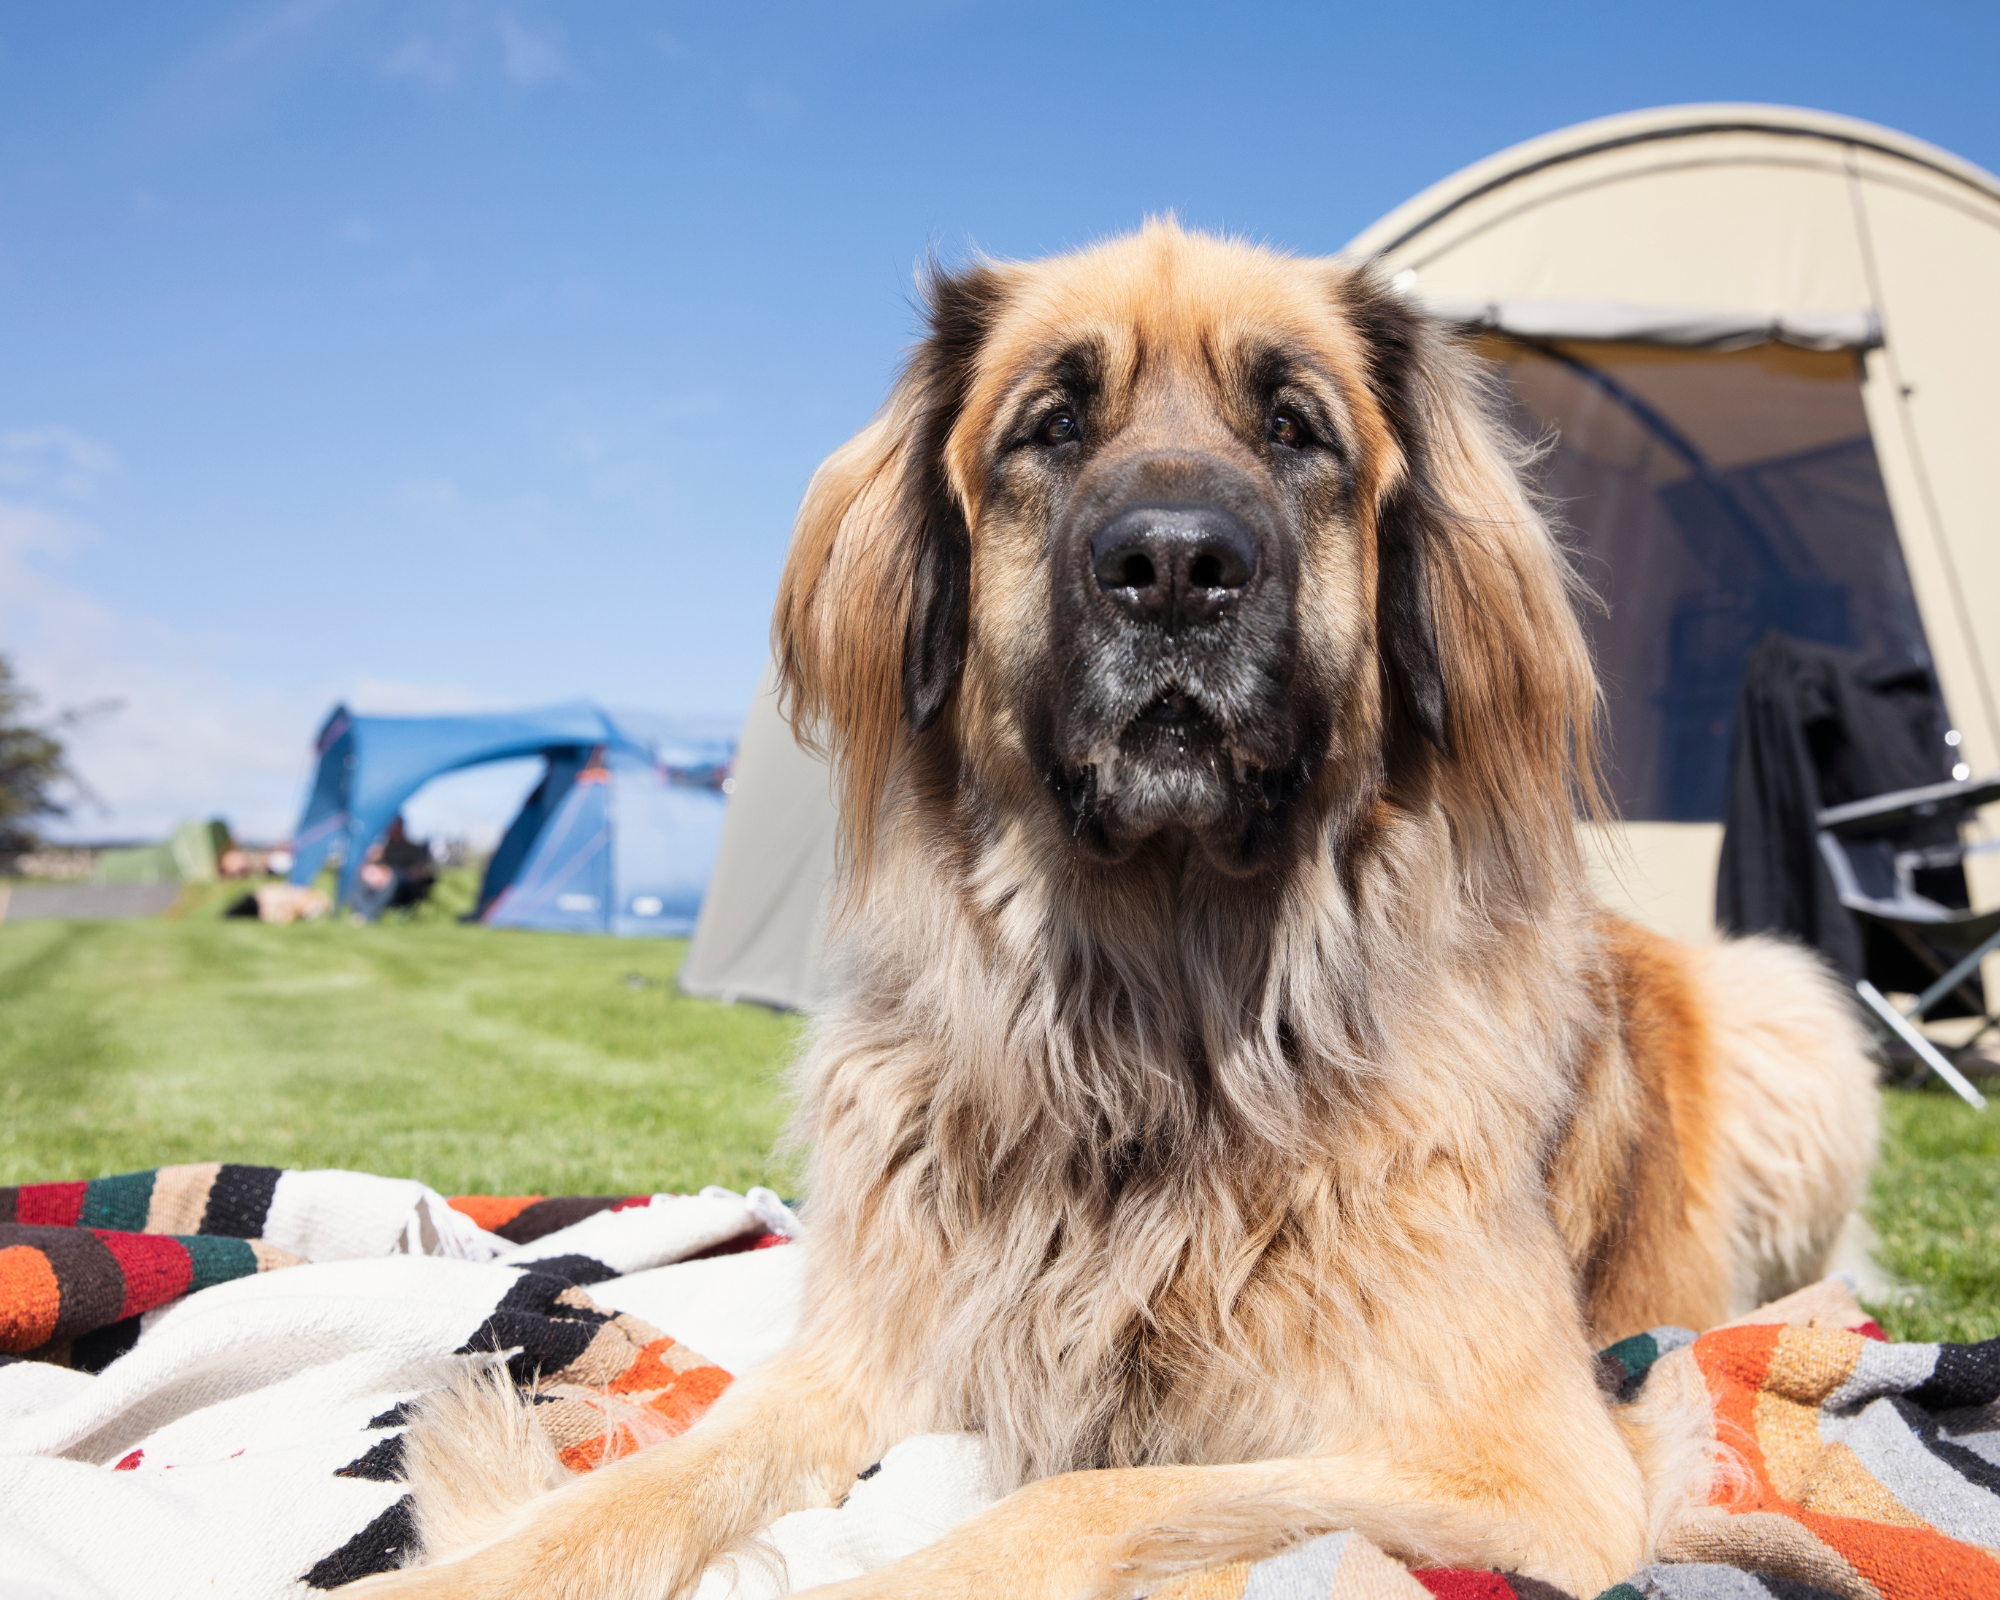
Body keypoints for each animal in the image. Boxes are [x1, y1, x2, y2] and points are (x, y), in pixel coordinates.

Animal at [356, 222, 1872, 1600]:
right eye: (1053, 426)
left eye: (1294, 429)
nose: (1176, 567)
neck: (1157, 1020)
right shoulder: (869, 1353)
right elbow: (661, 1478)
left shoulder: (1522, 1466)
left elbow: (1077, 1501)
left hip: (1789, 1004)